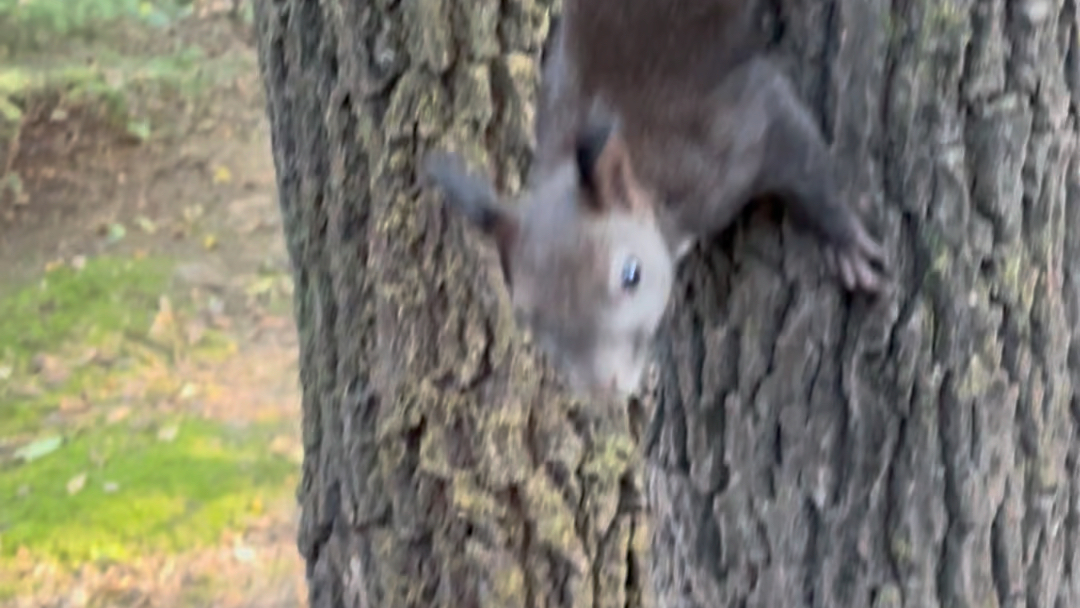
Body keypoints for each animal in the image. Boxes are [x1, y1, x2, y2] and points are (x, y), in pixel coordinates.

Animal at [419, 1, 885, 399]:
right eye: (527, 319)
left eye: (632, 275)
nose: (604, 389)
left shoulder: (741, 125)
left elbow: (803, 160)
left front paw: (844, 241)